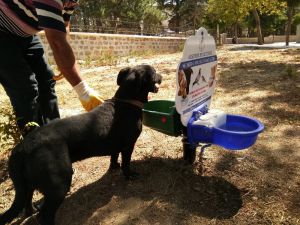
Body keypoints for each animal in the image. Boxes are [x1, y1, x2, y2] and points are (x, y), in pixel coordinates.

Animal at [0, 64, 162, 224]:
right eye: (154, 72)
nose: (161, 75)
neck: (126, 100)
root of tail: (22, 148)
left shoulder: (115, 145)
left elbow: (114, 157)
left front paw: (114, 167)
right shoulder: (128, 145)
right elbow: (126, 163)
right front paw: (129, 174)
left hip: (26, 184)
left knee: (26, 201)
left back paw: (31, 210)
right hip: (58, 184)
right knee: (45, 214)